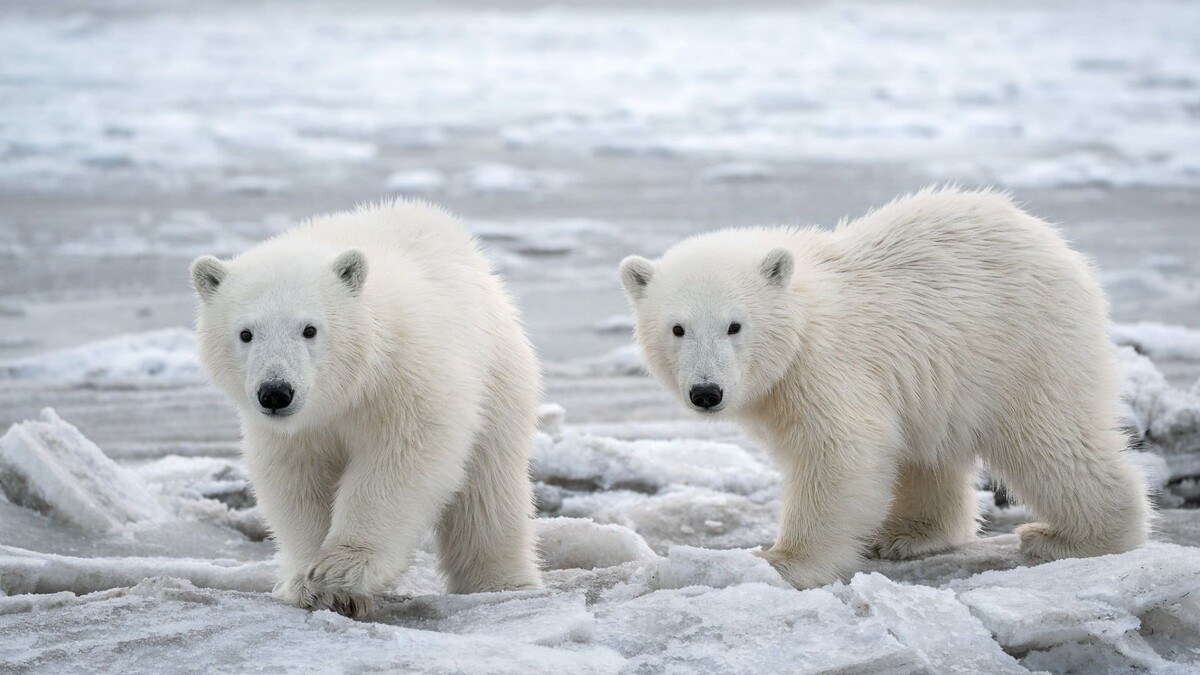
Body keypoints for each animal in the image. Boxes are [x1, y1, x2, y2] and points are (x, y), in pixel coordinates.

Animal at [190, 200, 542, 616]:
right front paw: (311, 583)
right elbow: (296, 480)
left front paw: (342, 569)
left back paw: (500, 583)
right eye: (246, 333)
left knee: (487, 492)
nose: (276, 392)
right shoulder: (295, 430)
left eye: (309, 329)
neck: (346, 390)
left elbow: (402, 460)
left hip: (497, 375)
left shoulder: (404, 379)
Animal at [618, 186, 1150, 589]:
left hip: (1022, 346)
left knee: (1050, 441)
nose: (706, 392)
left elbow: (839, 454)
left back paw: (1073, 538)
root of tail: (1058, 246)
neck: (803, 321)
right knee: (930, 452)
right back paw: (907, 534)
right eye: (677, 328)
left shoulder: (828, 369)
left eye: (734, 325)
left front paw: (780, 561)